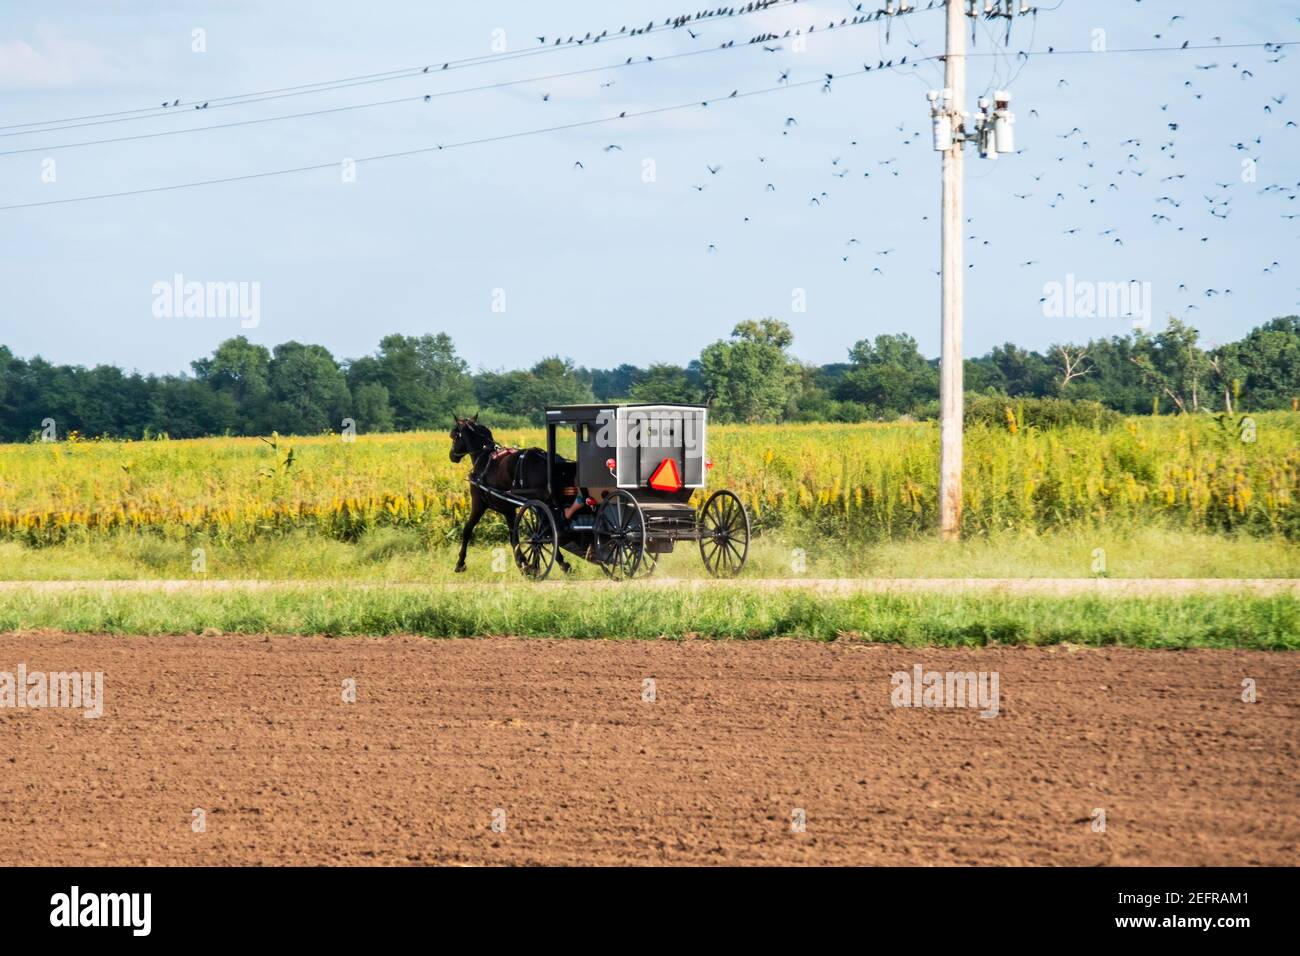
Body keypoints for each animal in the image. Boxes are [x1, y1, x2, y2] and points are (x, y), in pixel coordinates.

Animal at [447, 416, 574, 572]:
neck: (483, 459)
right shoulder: (508, 509)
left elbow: (467, 529)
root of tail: (544, 456)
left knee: (546, 531)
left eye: (454, 436)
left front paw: (460, 562)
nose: (451, 455)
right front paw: (524, 562)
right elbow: (513, 537)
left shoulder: (479, 504)